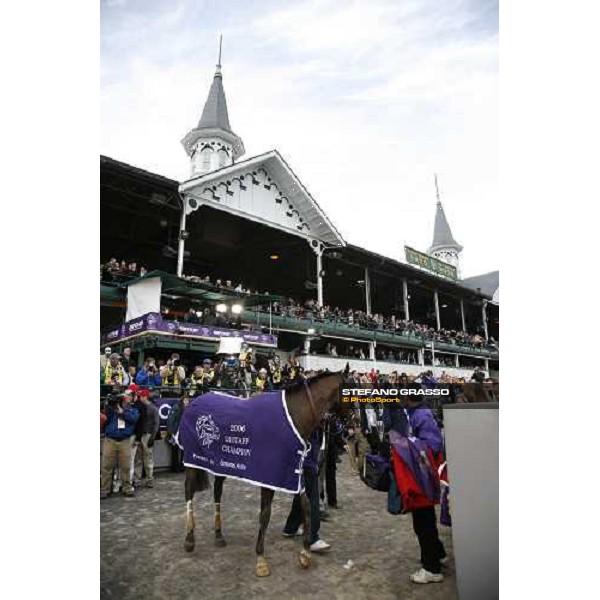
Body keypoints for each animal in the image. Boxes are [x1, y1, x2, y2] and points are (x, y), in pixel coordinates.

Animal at [179, 370, 346, 576]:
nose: (350, 429)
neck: (292, 418)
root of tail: (194, 401)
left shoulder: (293, 475)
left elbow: (307, 507)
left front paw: (305, 554)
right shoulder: (270, 478)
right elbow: (265, 515)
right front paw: (261, 560)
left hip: (219, 465)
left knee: (217, 493)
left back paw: (219, 536)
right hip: (192, 462)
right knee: (189, 492)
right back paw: (189, 540)